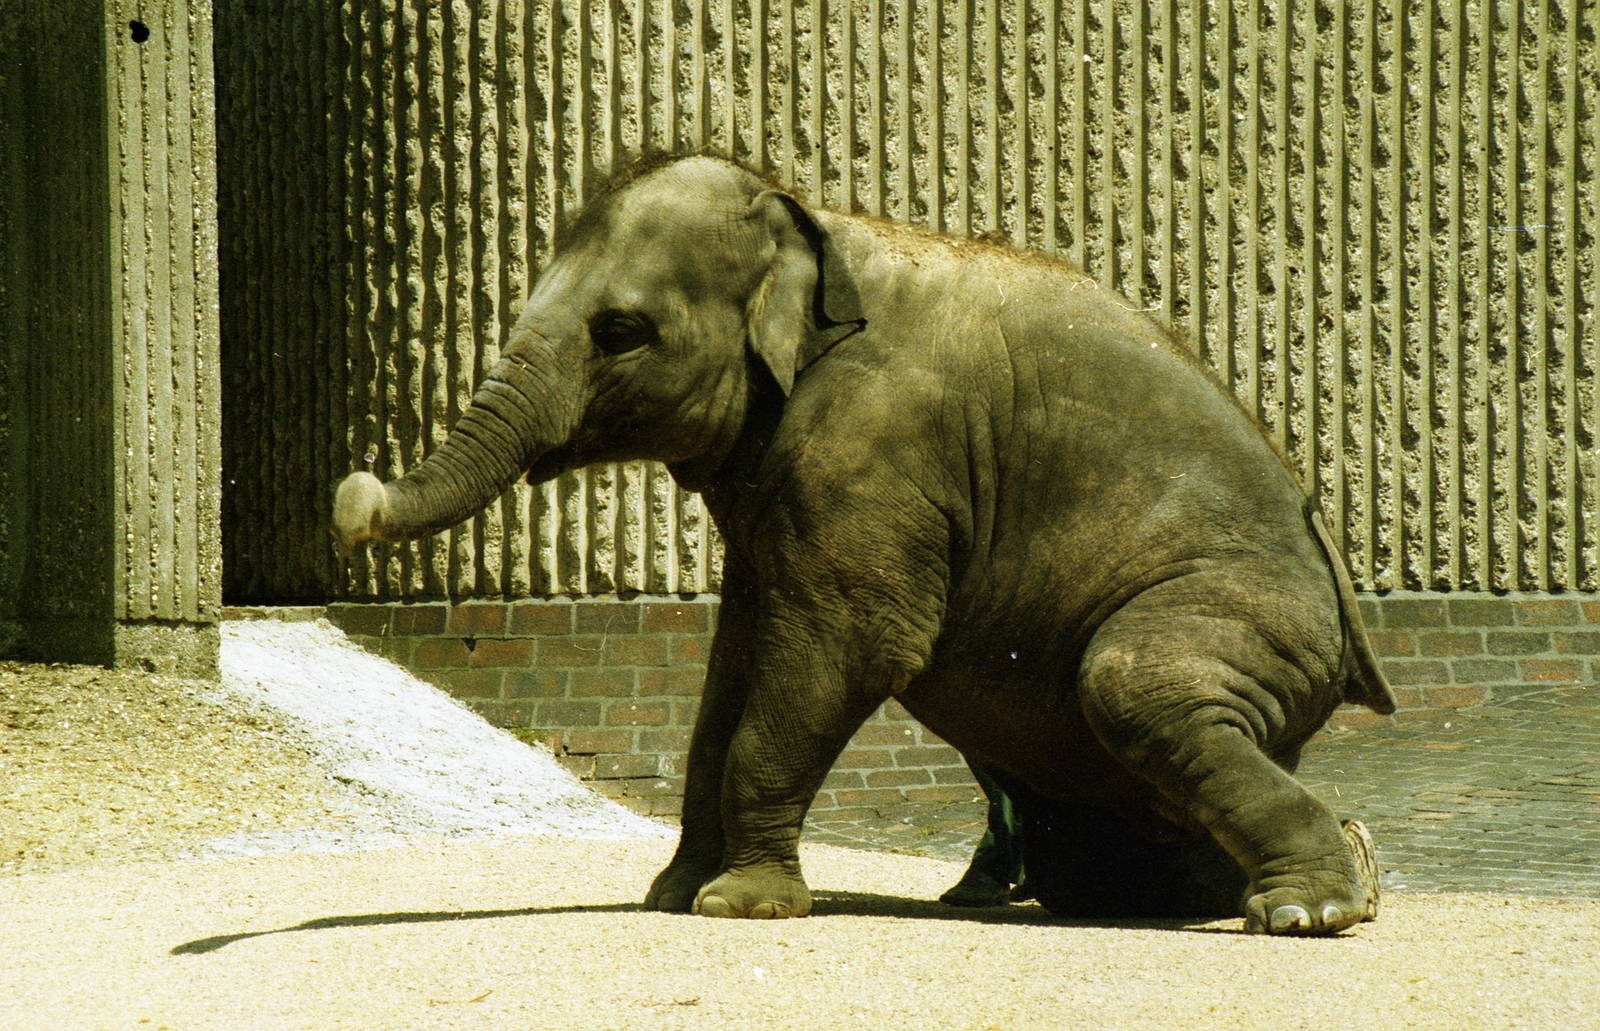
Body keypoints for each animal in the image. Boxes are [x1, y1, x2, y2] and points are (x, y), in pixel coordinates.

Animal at [332, 152, 1394, 935]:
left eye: (621, 330)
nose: (352, 488)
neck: (814, 226)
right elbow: (730, 670)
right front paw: (672, 896)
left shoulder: (875, 449)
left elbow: (852, 644)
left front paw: (740, 906)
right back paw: (1343, 866)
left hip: (1253, 616)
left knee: (1132, 684)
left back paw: (1313, 908)